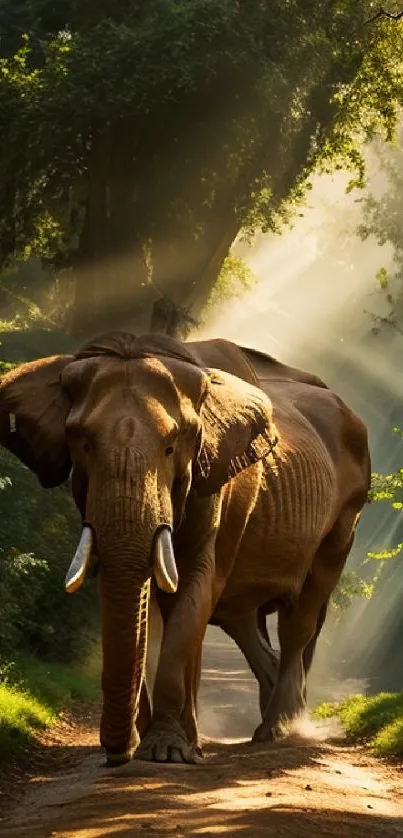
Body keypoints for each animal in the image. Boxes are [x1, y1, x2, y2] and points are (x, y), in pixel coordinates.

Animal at [0, 332, 372, 764]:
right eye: (84, 444)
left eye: (171, 447)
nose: (116, 755)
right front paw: (165, 746)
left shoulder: (226, 488)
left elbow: (195, 588)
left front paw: (167, 752)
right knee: (243, 622)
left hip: (346, 516)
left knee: (301, 616)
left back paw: (277, 730)